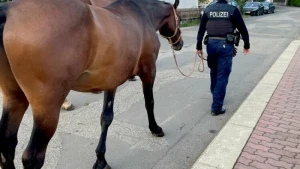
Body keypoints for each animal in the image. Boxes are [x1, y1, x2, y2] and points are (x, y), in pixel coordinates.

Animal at [0, 0, 183, 168]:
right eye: (179, 19)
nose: (179, 43)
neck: (142, 15)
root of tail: (8, 10)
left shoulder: (111, 81)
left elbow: (106, 117)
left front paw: (101, 159)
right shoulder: (149, 71)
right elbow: (149, 102)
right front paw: (155, 129)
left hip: (15, 98)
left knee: (7, 146)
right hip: (47, 110)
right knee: (32, 157)